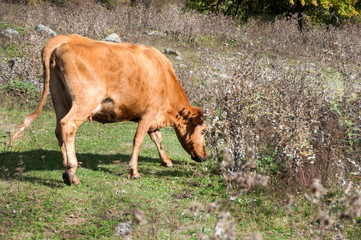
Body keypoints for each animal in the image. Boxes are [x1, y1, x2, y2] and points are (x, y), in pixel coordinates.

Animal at [9, 33, 205, 186]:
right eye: (203, 131)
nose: (204, 157)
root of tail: (63, 40)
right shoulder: (149, 113)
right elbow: (139, 140)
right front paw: (134, 171)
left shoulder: (151, 117)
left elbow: (157, 138)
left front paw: (166, 161)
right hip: (85, 100)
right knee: (68, 125)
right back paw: (71, 172)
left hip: (59, 99)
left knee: (59, 130)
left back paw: (68, 170)